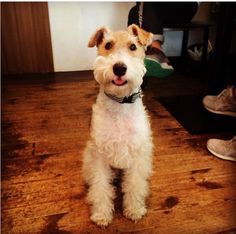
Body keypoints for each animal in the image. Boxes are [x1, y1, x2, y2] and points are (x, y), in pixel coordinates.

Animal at [82, 23, 153, 227]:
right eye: (107, 45)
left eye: (133, 46)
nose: (119, 68)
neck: (121, 102)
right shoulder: (99, 155)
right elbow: (100, 187)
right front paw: (101, 215)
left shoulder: (138, 155)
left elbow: (134, 185)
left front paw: (134, 210)